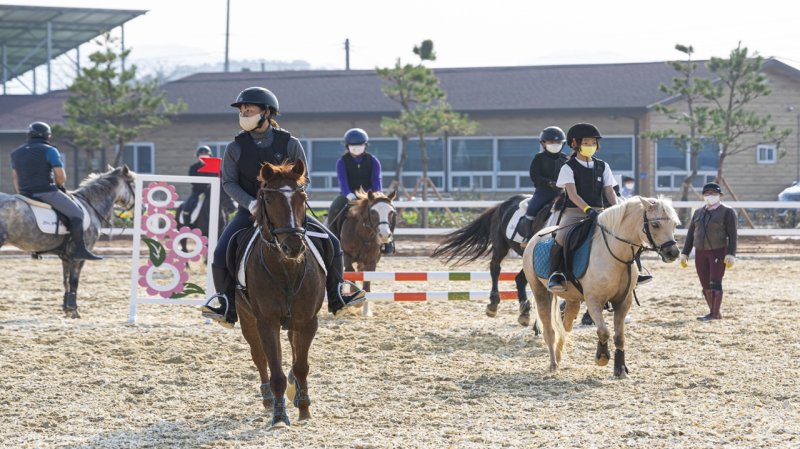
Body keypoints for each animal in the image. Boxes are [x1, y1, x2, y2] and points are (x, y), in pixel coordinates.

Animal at [0, 165, 136, 318]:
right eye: (133, 185)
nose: (143, 208)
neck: (91, 205)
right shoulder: (79, 257)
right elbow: (74, 281)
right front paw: (73, 310)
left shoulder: (66, 257)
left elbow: (65, 280)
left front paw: (66, 308)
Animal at [233, 160, 326, 428]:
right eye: (268, 199)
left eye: (302, 197)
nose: (293, 246)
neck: (286, 270)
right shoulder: (267, 322)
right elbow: (275, 370)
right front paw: (279, 416)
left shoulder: (308, 321)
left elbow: (301, 366)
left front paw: (304, 408)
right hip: (247, 318)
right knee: (259, 356)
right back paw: (267, 398)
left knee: (294, 351)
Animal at [328, 187, 396, 316]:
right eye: (373, 212)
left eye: (391, 212)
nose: (385, 235)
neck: (364, 234)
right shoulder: (347, 255)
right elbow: (350, 271)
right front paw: (355, 297)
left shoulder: (372, 260)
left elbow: (367, 283)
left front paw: (366, 311)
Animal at [432, 192, 556, 328]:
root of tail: (502, 205)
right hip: (501, 247)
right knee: (495, 268)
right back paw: (494, 304)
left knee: (520, 279)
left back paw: (524, 313)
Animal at [520, 198, 680, 376]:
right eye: (655, 225)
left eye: (674, 224)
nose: (673, 253)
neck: (616, 254)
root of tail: (535, 237)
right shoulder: (594, 301)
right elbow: (604, 331)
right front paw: (602, 357)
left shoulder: (623, 302)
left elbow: (619, 336)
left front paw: (620, 368)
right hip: (540, 292)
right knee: (549, 329)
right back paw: (553, 364)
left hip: (573, 299)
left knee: (565, 324)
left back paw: (559, 354)